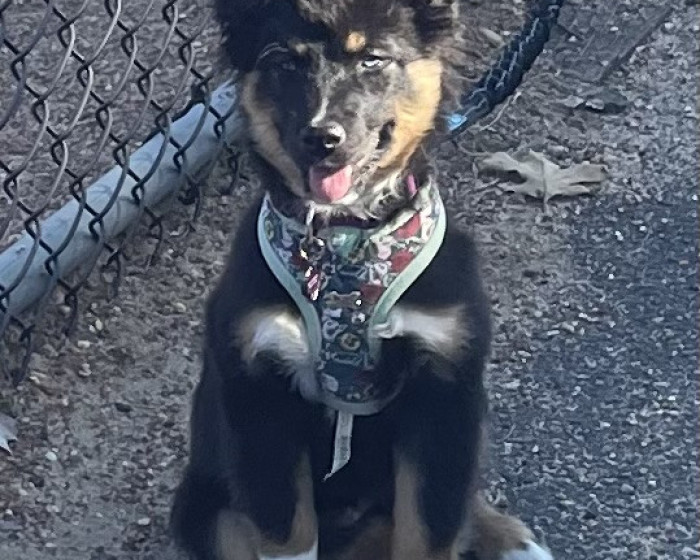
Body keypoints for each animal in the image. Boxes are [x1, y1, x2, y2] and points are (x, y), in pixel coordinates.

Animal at [171, 1, 553, 559]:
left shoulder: (444, 384)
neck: (346, 237)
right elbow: (288, 533)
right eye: (283, 63)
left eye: (372, 59)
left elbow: (430, 527)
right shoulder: (259, 396)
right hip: (207, 507)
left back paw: (507, 537)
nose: (321, 138)